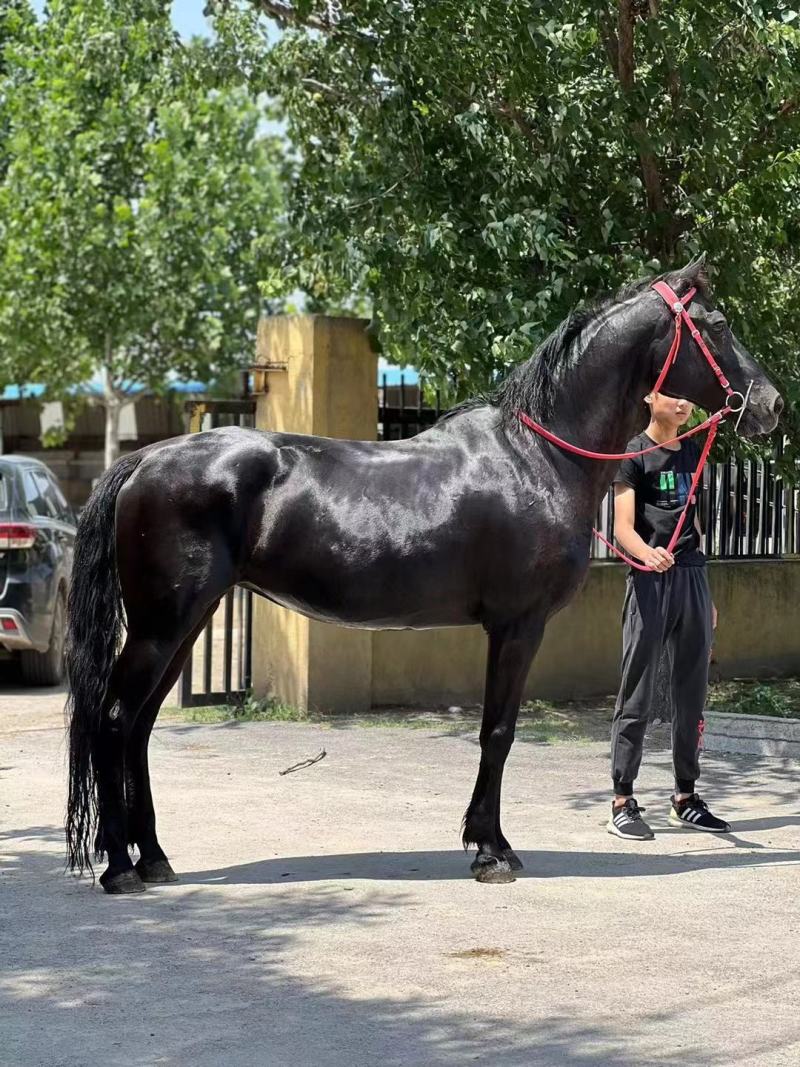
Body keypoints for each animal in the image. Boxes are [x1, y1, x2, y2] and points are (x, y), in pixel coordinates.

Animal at [65, 258, 783, 893]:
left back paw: (155, 858)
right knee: (115, 717)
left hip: (185, 626)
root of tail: (143, 460)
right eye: (718, 324)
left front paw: (489, 842)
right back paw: (119, 866)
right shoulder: (517, 626)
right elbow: (498, 732)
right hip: (162, 626)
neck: (538, 454)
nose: (772, 404)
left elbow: (497, 732)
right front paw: (490, 850)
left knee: (139, 726)